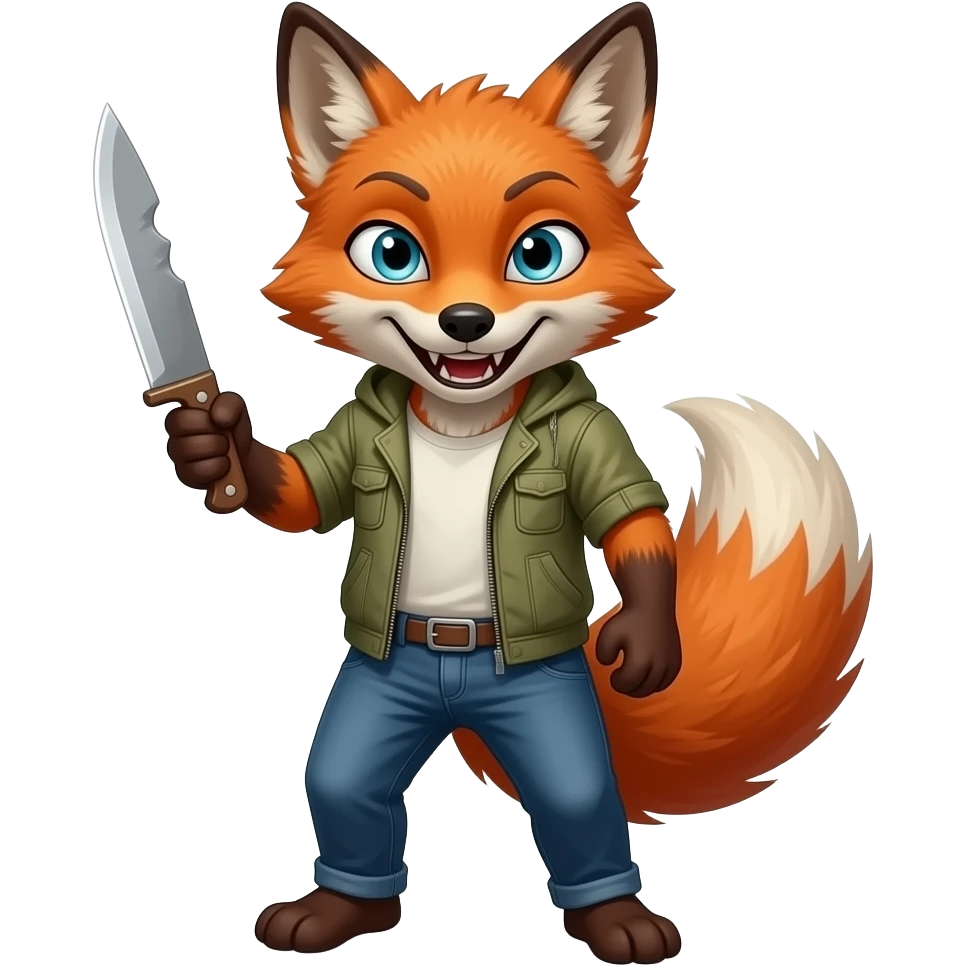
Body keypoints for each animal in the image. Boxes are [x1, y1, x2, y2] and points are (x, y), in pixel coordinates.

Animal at [157, 3, 873, 963]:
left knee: (576, 795)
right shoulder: (360, 435)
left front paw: (648, 643)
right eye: (392, 253)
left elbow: (629, 521)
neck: (468, 417)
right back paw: (343, 910)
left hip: (544, 706)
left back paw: (617, 921)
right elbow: (311, 493)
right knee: (344, 785)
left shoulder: (591, 439)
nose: (466, 322)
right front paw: (211, 445)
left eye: (540, 253)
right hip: (382, 698)